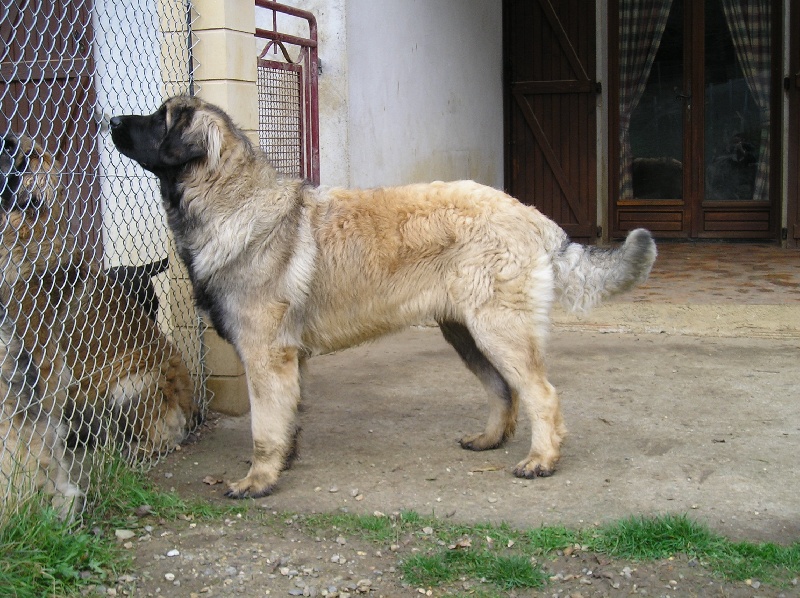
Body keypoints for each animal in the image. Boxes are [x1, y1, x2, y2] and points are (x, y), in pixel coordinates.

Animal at [108, 97, 656, 502]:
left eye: (159, 120)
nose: (111, 119)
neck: (230, 202)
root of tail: (533, 216)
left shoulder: (266, 355)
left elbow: (263, 426)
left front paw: (259, 480)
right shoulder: (289, 359)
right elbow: (287, 417)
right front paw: (285, 461)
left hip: (498, 329)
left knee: (542, 395)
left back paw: (541, 460)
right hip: (466, 332)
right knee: (504, 390)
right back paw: (489, 439)